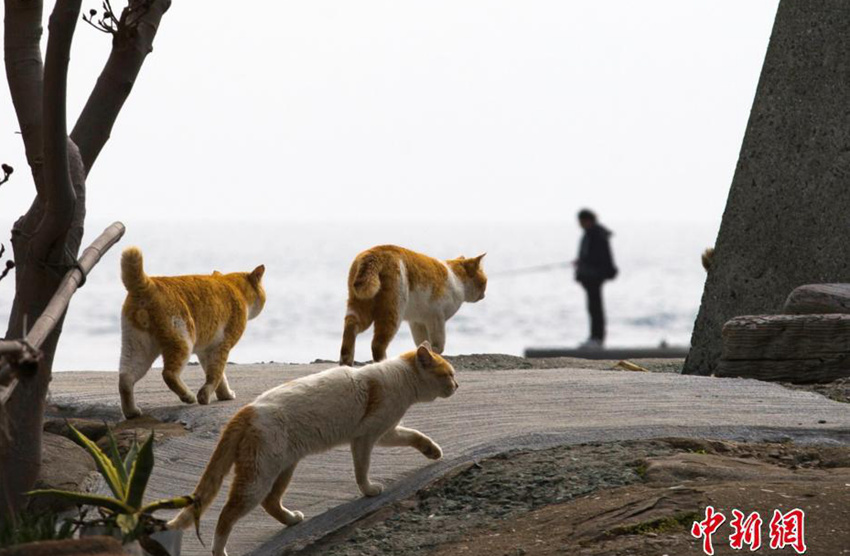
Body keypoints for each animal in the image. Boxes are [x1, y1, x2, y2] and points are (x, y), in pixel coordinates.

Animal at [114, 245, 264, 420]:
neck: (234, 287)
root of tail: (147, 284)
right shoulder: (221, 345)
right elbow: (216, 373)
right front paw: (205, 396)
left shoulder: (207, 350)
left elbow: (219, 376)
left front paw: (224, 395)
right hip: (182, 342)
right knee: (169, 374)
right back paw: (188, 396)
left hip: (137, 347)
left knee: (125, 379)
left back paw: (132, 412)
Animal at [166, 344, 458, 556]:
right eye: (449, 374)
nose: (457, 386)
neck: (400, 377)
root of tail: (246, 410)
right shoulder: (365, 438)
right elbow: (362, 470)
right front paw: (369, 491)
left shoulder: (386, 432)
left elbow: (415, 436)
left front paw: (433, 451)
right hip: (258, 477)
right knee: (227, 514)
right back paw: (220, 550)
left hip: (284, 467)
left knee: (270, 502)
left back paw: (291, 519)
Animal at [338, 245, 484, 368]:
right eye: (484, 282)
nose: (484, 294)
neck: (456, 279)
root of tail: (375, 253)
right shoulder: (436, 318)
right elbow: (438, 344)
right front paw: (433, 351)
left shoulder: (417, 322)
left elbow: (421, 341)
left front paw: (425, 352)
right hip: (393, 311)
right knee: (377, 344)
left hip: (360, 306)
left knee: (350, 328)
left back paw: (346, 363)